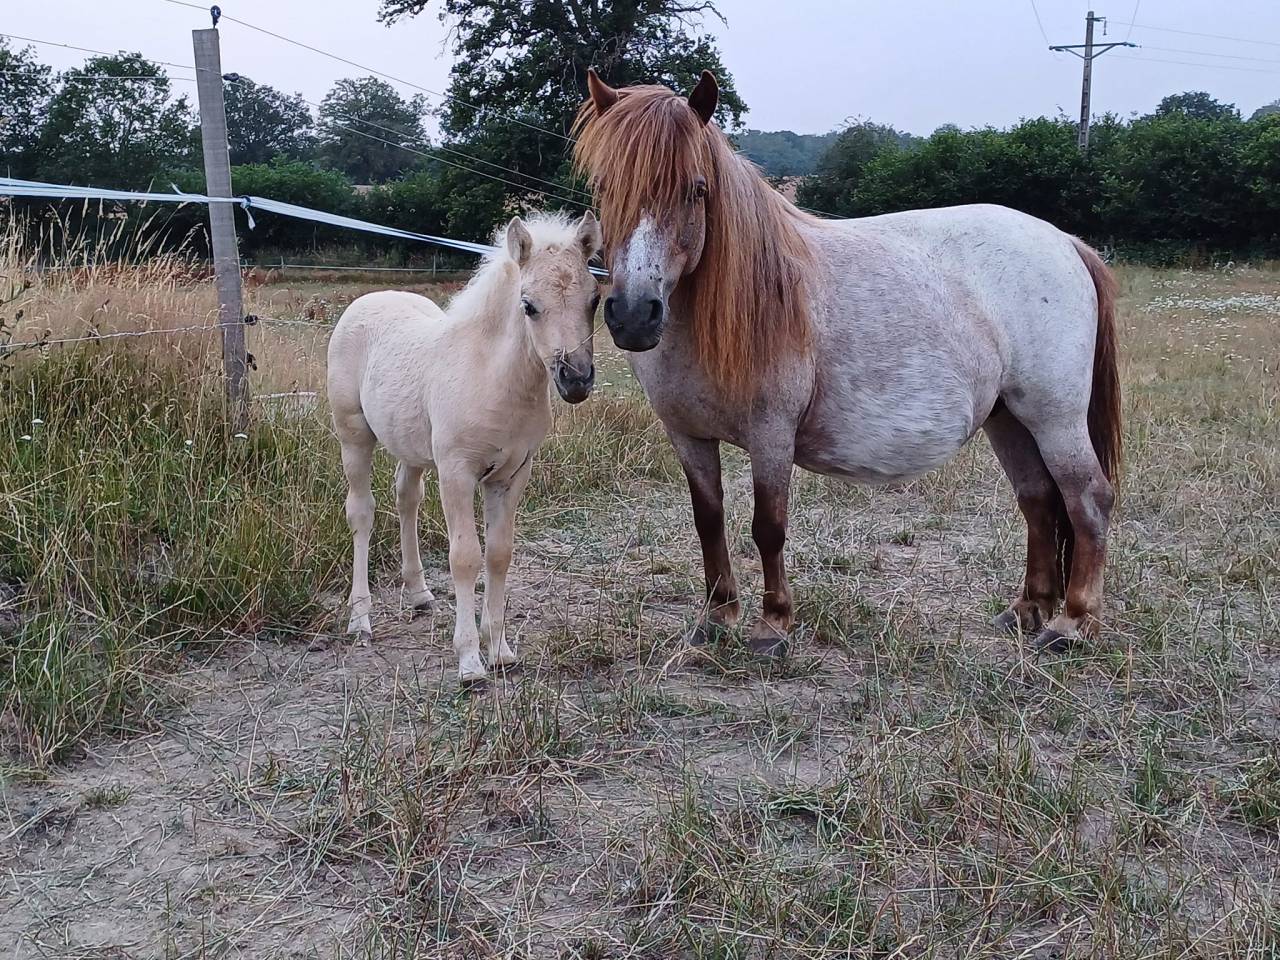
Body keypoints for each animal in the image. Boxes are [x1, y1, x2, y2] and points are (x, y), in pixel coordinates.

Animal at [327, 211, 603, 682]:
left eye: (594, 300)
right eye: (529, 306)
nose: (576, 379)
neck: (491, 377)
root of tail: (370, 298)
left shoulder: (512, 475)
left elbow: (498, 554)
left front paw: (500, 650)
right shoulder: (457, 472)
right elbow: (465, 557)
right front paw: (470, 660)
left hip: (413, 448)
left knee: (406, 497)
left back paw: (419, 593)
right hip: (354, 437)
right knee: (361, 512)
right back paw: (359, 618)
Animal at [573, 70, 1121, 656]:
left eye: (697, 189)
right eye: (605, 185)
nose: (634, 315)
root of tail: (1064, 241)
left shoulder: (772, 433)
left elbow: (768, 526)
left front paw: (773, 627)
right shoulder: (688, 434)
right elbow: (709, 519)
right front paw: (717, 617)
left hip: (1054, 419)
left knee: (1087, 498)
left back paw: (1071, 623)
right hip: (1009, 418)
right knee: (1038, 500)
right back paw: (1027, 611)